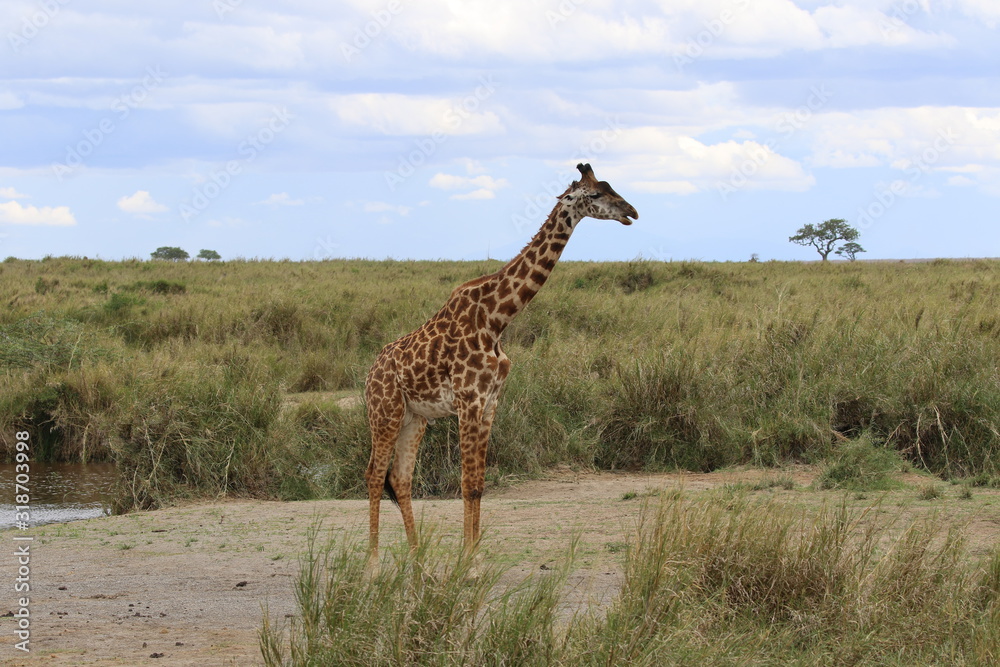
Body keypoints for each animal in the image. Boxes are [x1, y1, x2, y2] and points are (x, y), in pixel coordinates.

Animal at [363, 163, 638, 575]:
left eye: (611, 187)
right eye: (593, 194)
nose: (631, 212)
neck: (497, 319)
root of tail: (368, 375)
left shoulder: (491, 402)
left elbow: (478, 484)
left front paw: (474, 560)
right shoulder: (468, 400)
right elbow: (466, 482)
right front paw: (468, 564)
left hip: (415, 419)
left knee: (400, 479)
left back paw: (419, 560)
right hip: (386, 413)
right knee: (374, 474)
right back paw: (373, 566)